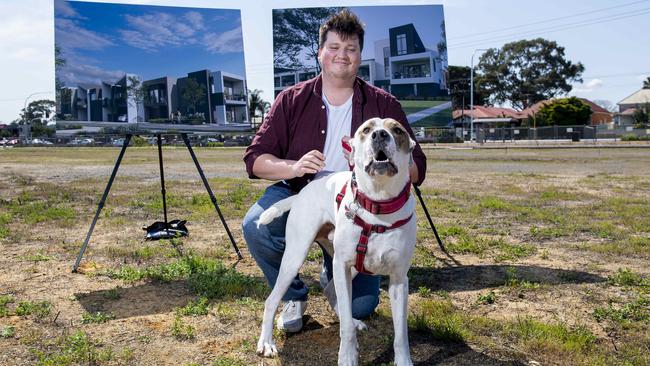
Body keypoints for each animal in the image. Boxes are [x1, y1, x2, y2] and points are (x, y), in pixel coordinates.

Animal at [253, 118, 416, 366]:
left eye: (397, 130)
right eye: (366, 130)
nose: (380, 135)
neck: (377, 206)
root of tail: (302, 193)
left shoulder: (399, 279)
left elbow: (401, 334)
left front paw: (403, 360)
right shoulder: (342, 266)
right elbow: (345, 330)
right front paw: (347, 358)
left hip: (347, 266)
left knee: (331, 291)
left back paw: (354, 320)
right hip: (296, 257)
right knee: (272, 300)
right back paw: (266, 342)